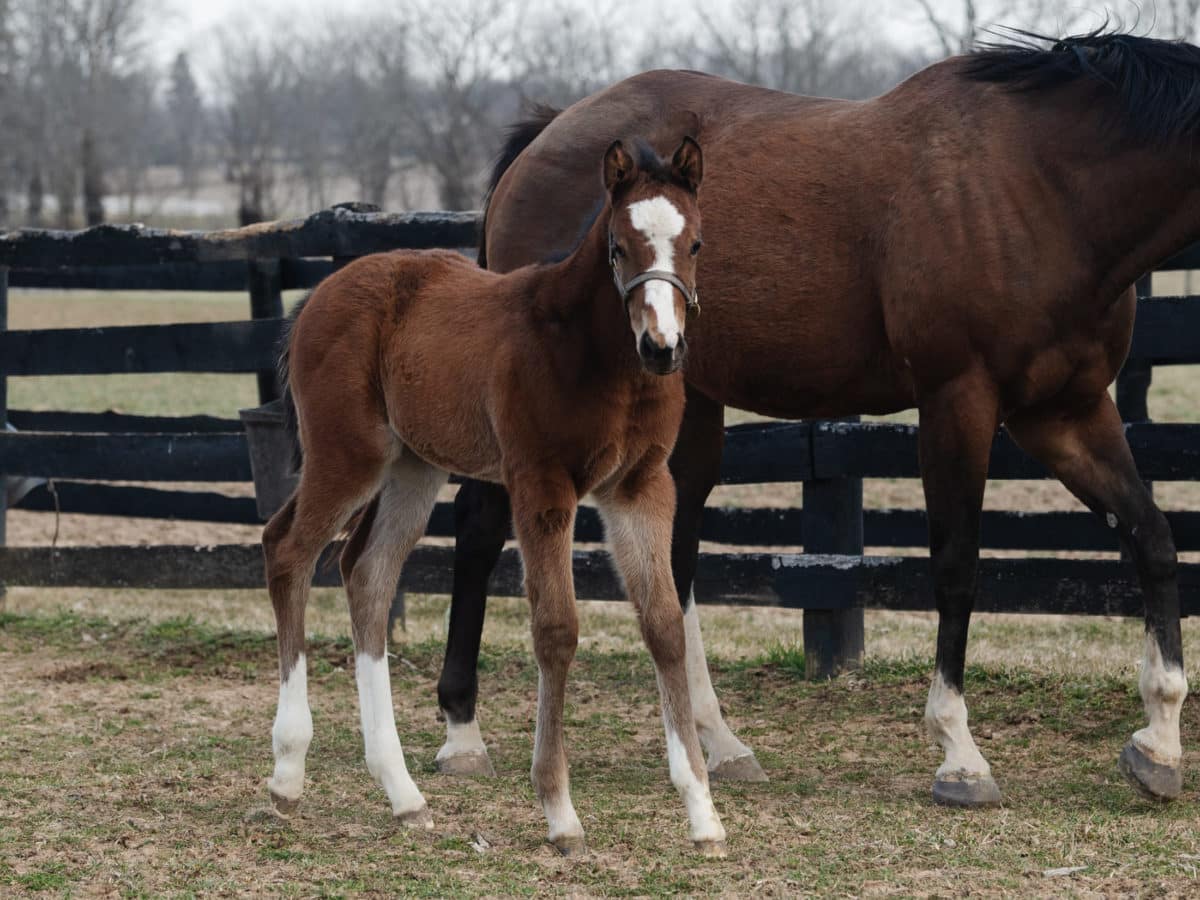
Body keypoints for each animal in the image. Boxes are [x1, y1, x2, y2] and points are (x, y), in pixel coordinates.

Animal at [260, 137, 720, 854]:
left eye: (694, 243)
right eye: (618, 247)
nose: (662, 347)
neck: (592, 352)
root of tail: (316, 297)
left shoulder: (640, 488)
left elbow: (665, 626)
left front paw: (702, 811)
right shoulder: (540, 483)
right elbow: (556, 629)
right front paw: (560, 814)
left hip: (413, 467)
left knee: (366, 574)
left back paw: (403, 795)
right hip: (348, 457)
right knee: (288, 551)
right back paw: (286, 775)